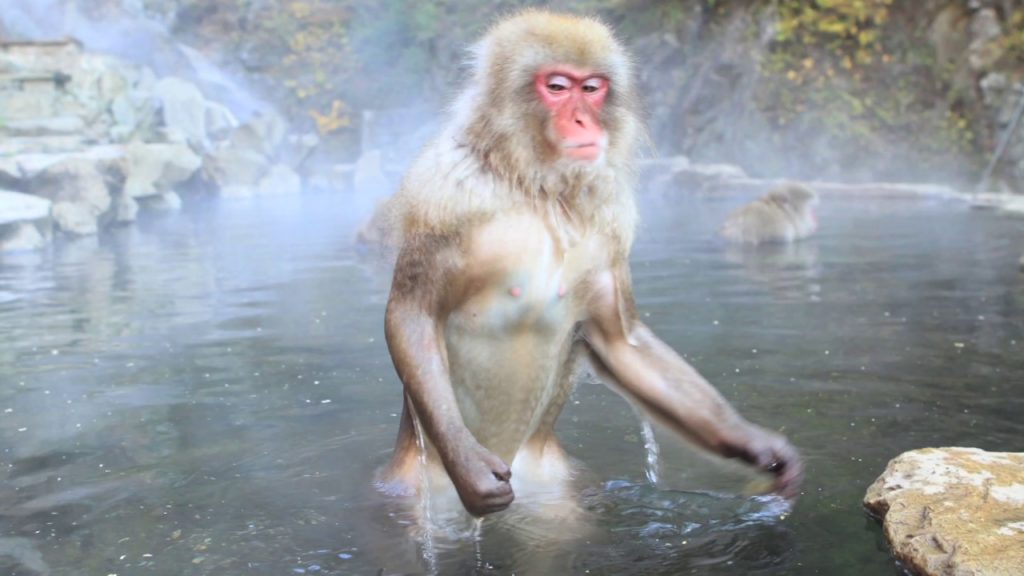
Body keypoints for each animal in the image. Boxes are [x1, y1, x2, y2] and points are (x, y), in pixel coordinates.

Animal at [374, 10, 802, 520]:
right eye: (557, 87)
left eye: (593, 88)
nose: (582, 119)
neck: (534, 185)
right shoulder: (443, 191)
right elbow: (414, 314)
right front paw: (469, 466)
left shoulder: (608, 219)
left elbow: (622, 342)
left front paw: (758, 447)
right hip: (416, 492)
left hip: (550, 486)